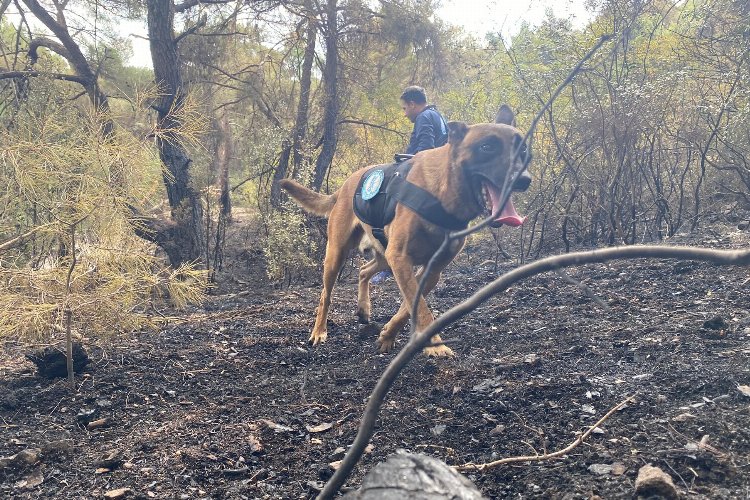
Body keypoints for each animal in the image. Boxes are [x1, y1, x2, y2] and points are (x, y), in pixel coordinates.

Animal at [282, 105, 536, 356]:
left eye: (523, 149)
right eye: (486, 147)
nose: (524, 179)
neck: (442, 194)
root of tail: (344, 185)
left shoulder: (430, 269)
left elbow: (411, 305)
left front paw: (388, 334)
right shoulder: (400, 257)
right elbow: (420, 306)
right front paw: (437, 345)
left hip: (383, 256)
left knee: (364, 270)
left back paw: (364, 309)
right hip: (337, 254)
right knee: (325, 295)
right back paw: (319, 331)